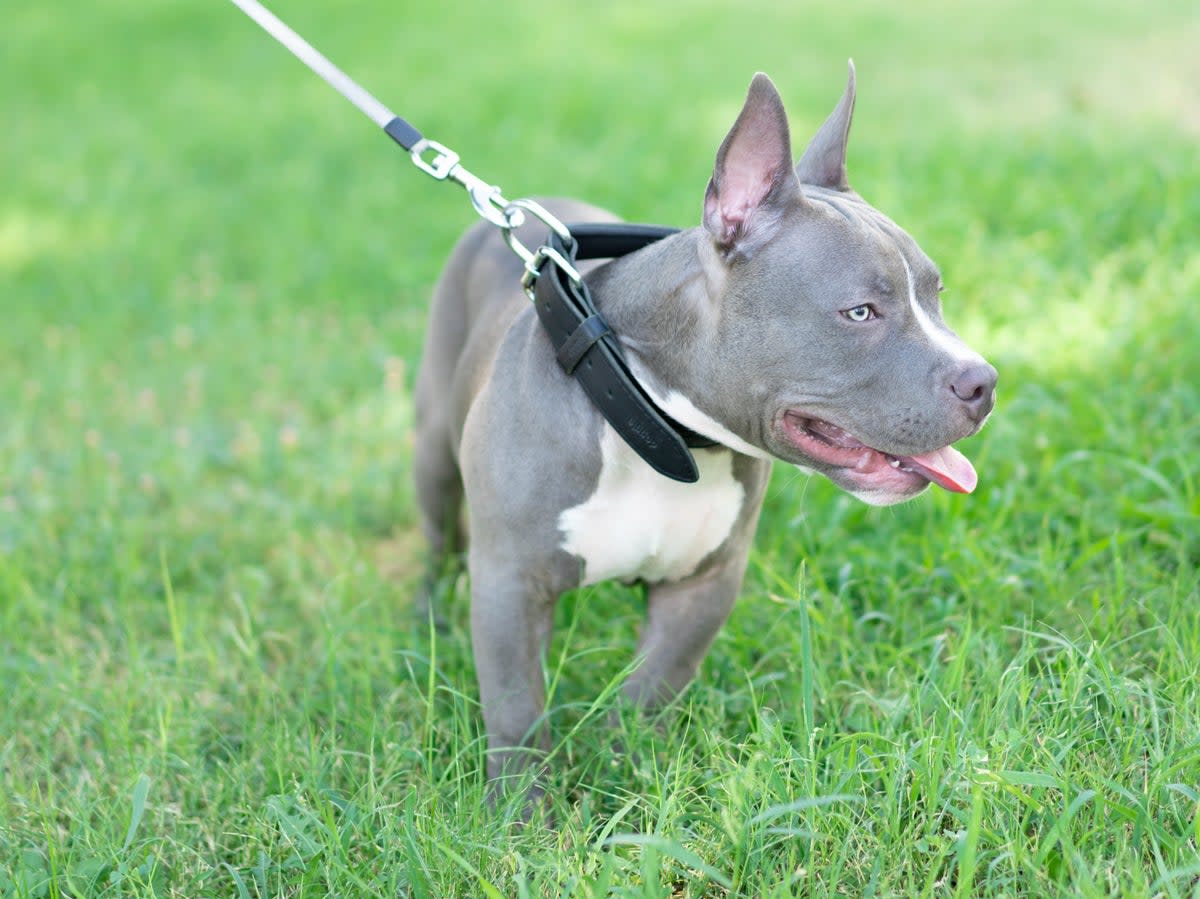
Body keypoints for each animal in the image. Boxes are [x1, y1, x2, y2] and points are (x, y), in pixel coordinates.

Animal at [412, 63, 993, 796]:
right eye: (860, 311)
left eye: (935, 294)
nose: (984, 381)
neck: (654, 427)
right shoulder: (509, 585)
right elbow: (518, 713)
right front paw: (523, 811)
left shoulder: (704, 585)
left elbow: (651, 690)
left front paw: (622, 774)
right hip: (432, 447)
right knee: (439, 534)